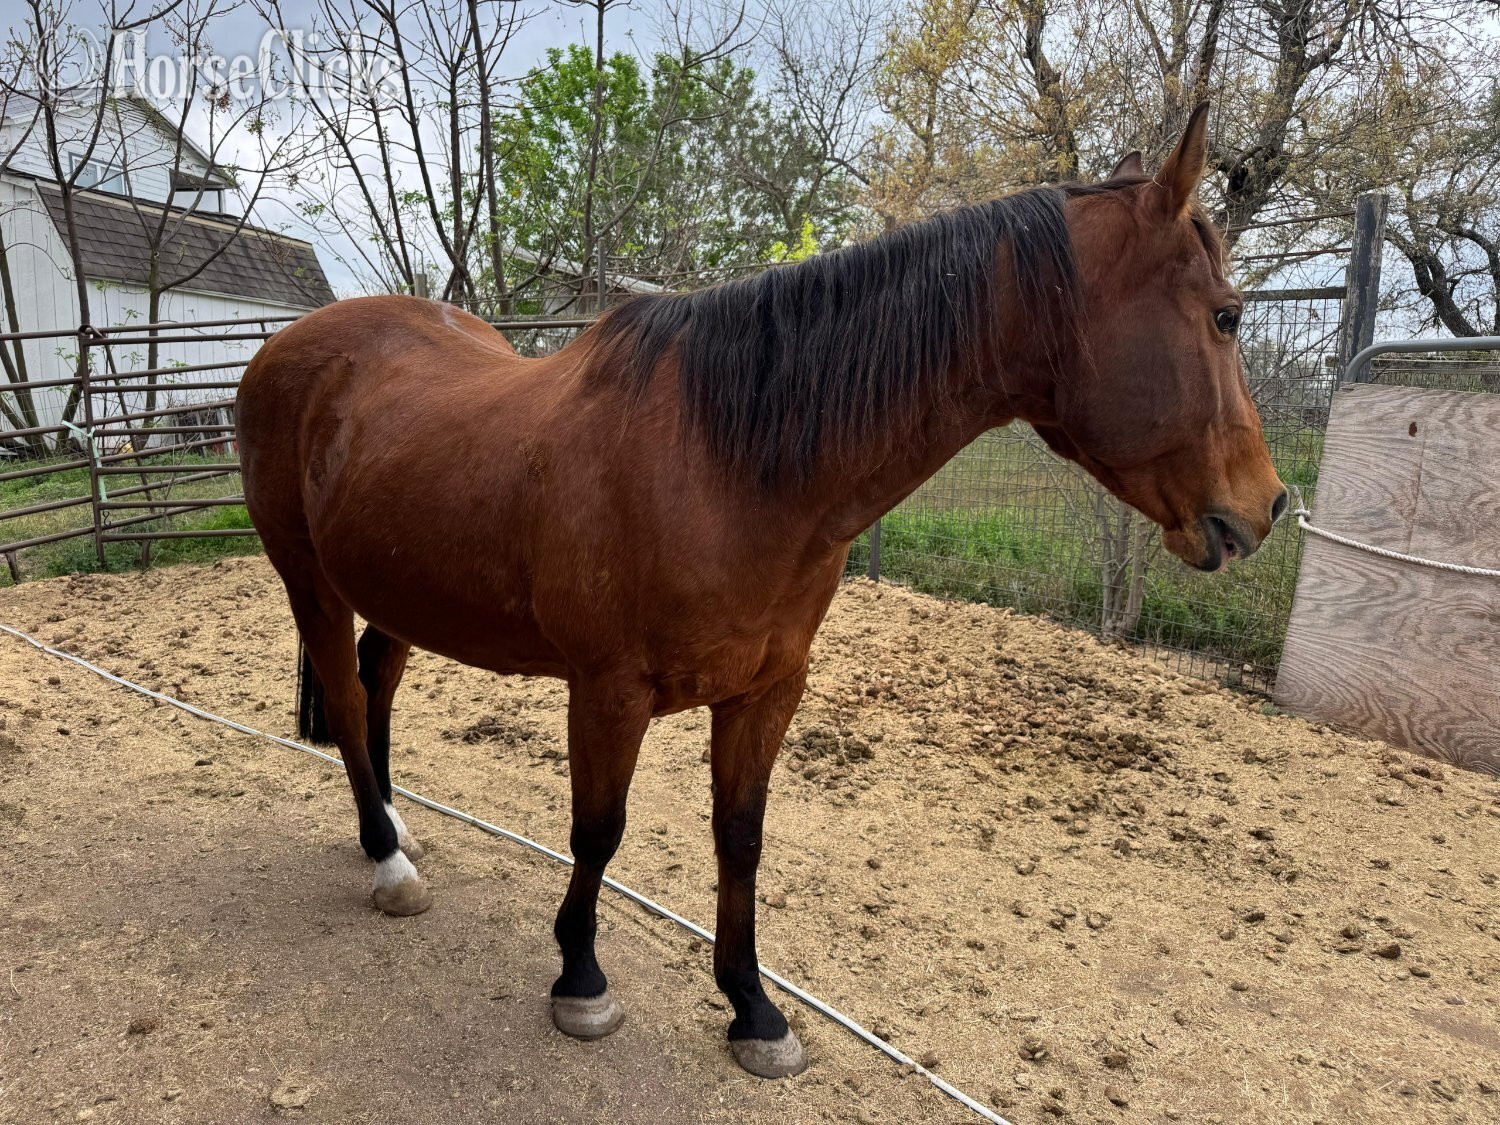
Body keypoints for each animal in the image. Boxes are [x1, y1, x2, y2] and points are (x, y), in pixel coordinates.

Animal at [235, 105, 1286, 1079]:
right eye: (1226, 314)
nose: (1268, 506)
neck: (726, 462)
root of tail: (286, 348)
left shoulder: (767, 688)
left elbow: (739, 835)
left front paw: (752, 1006)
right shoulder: (608, 691)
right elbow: (598, 831)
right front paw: (581, 977)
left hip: (397, 589)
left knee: (374, 684)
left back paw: (393, 828)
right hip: (310, 580)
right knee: (345, 693)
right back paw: (387, 858)